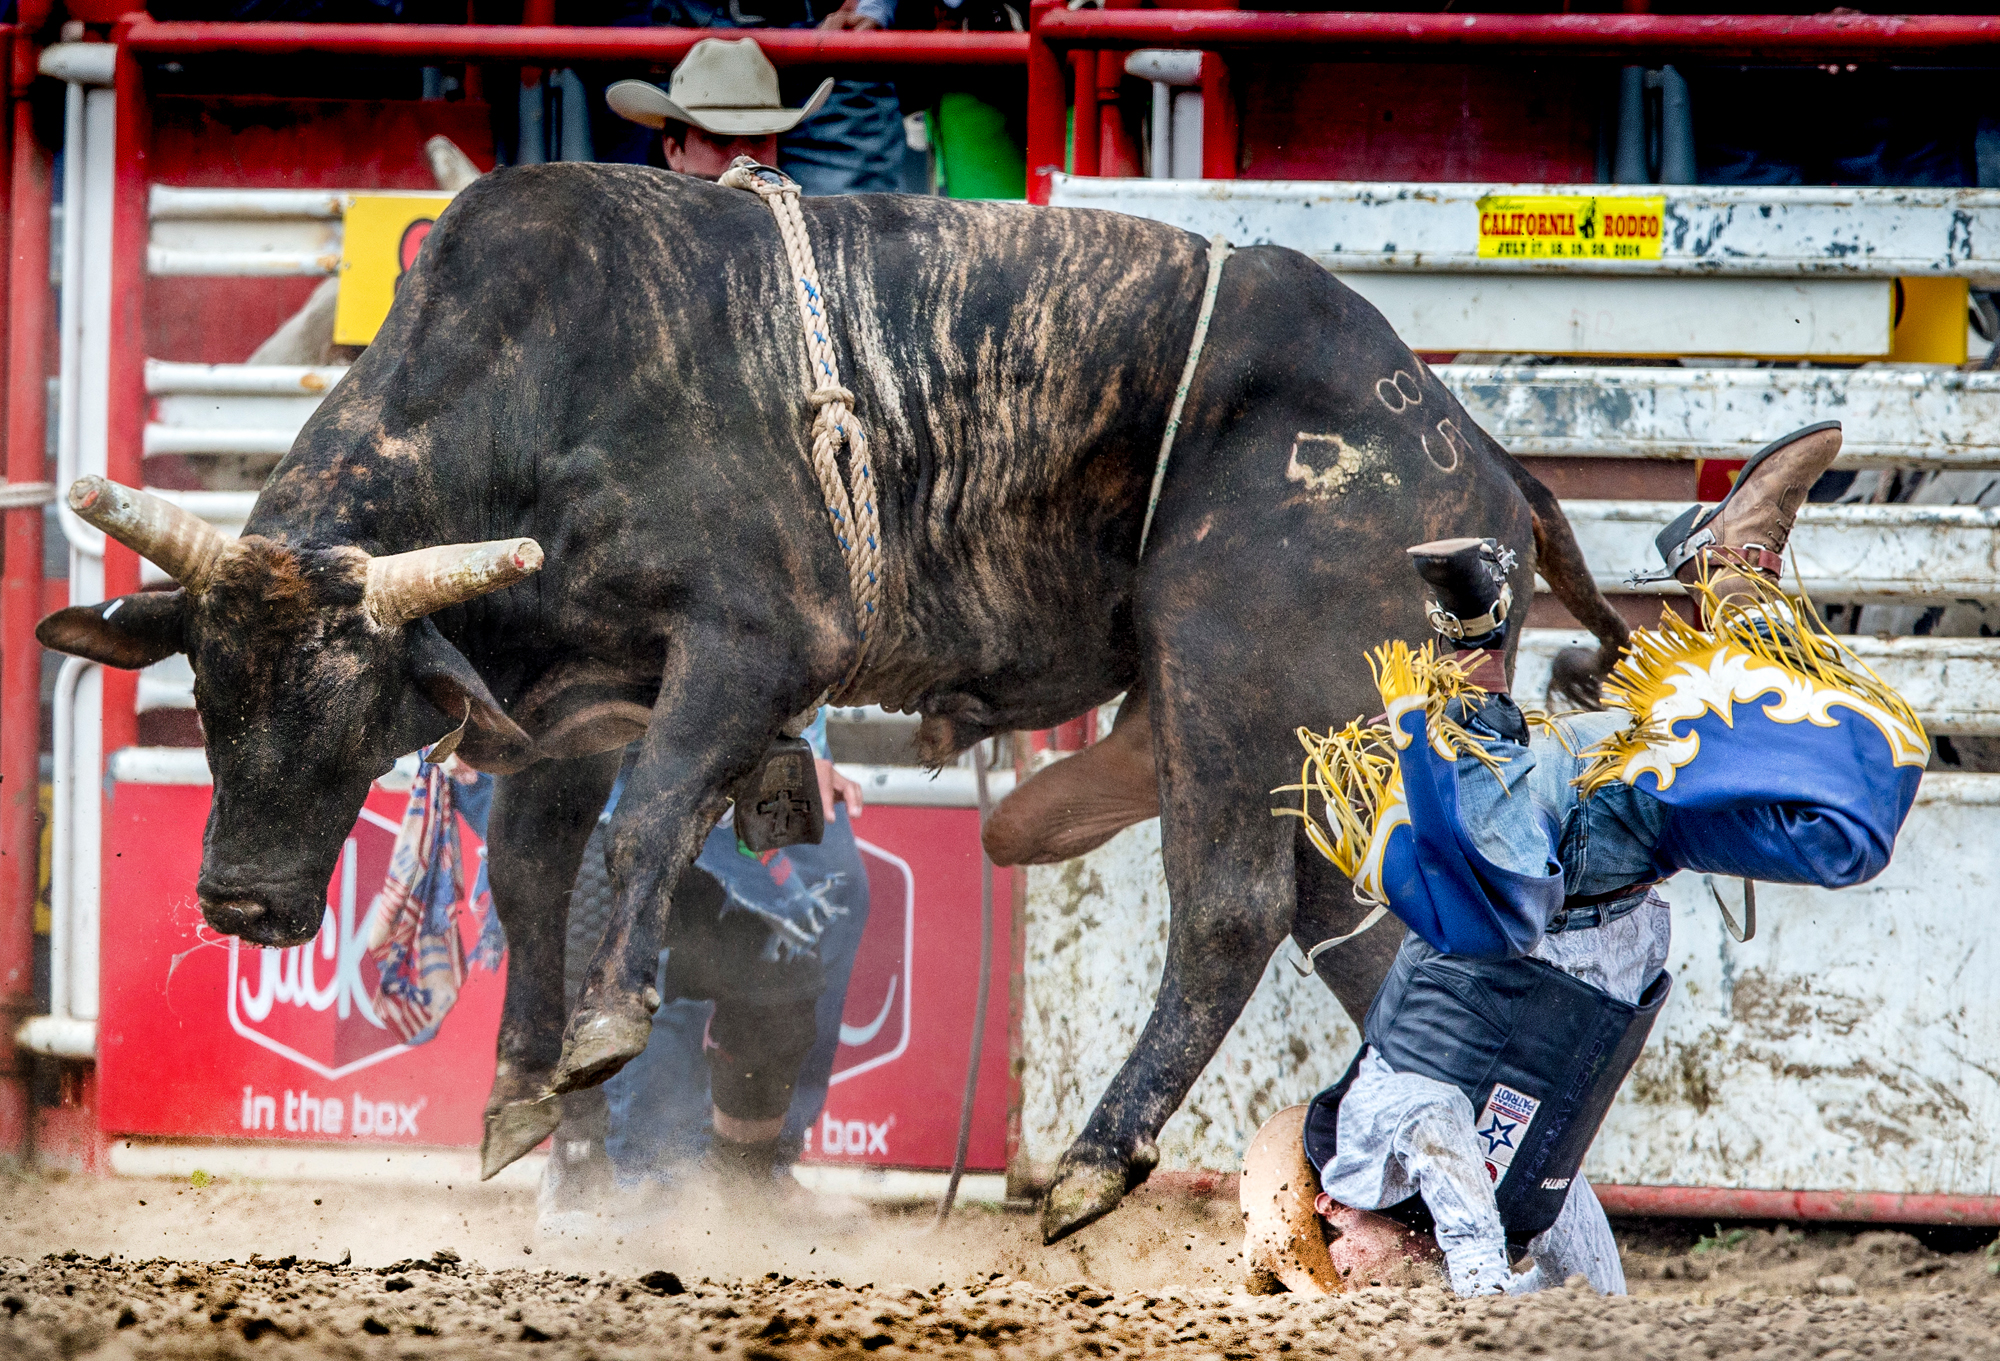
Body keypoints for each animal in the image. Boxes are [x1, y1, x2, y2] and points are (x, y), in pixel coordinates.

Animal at [36, 163, 1627, 1245]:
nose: (242, 902)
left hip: (1229, 689)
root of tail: (1472, 447)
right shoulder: (576, 699)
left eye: (357, 699)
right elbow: (537, 868)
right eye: (206, 683)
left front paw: (602, 1032)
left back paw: (1091, 1166)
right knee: (1368, 936)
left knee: (1231, 913)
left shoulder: (753, 651)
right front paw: (522, 1089)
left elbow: (643, 831)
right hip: (1311, 738)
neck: (555, 379)